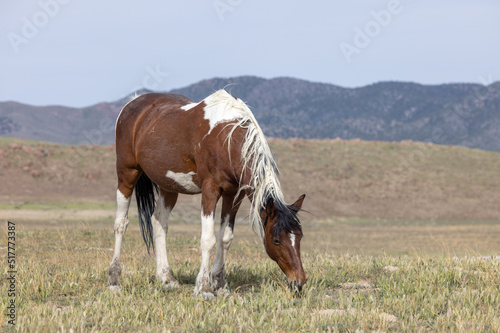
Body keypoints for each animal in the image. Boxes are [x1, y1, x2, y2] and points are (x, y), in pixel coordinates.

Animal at [107, 88, 306, 296]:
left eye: (300, 236)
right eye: (276, 240)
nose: (299, 282)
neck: (226, 137)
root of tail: (132, 103)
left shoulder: (233, 194)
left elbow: (225, 238)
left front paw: (220, 283)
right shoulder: (210, 190)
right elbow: (208, 239)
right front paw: (203, 287)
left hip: (168, 186)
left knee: (159, 223)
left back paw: (166, 278)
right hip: (127, 174)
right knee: (121, 224)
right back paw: (114, 280)